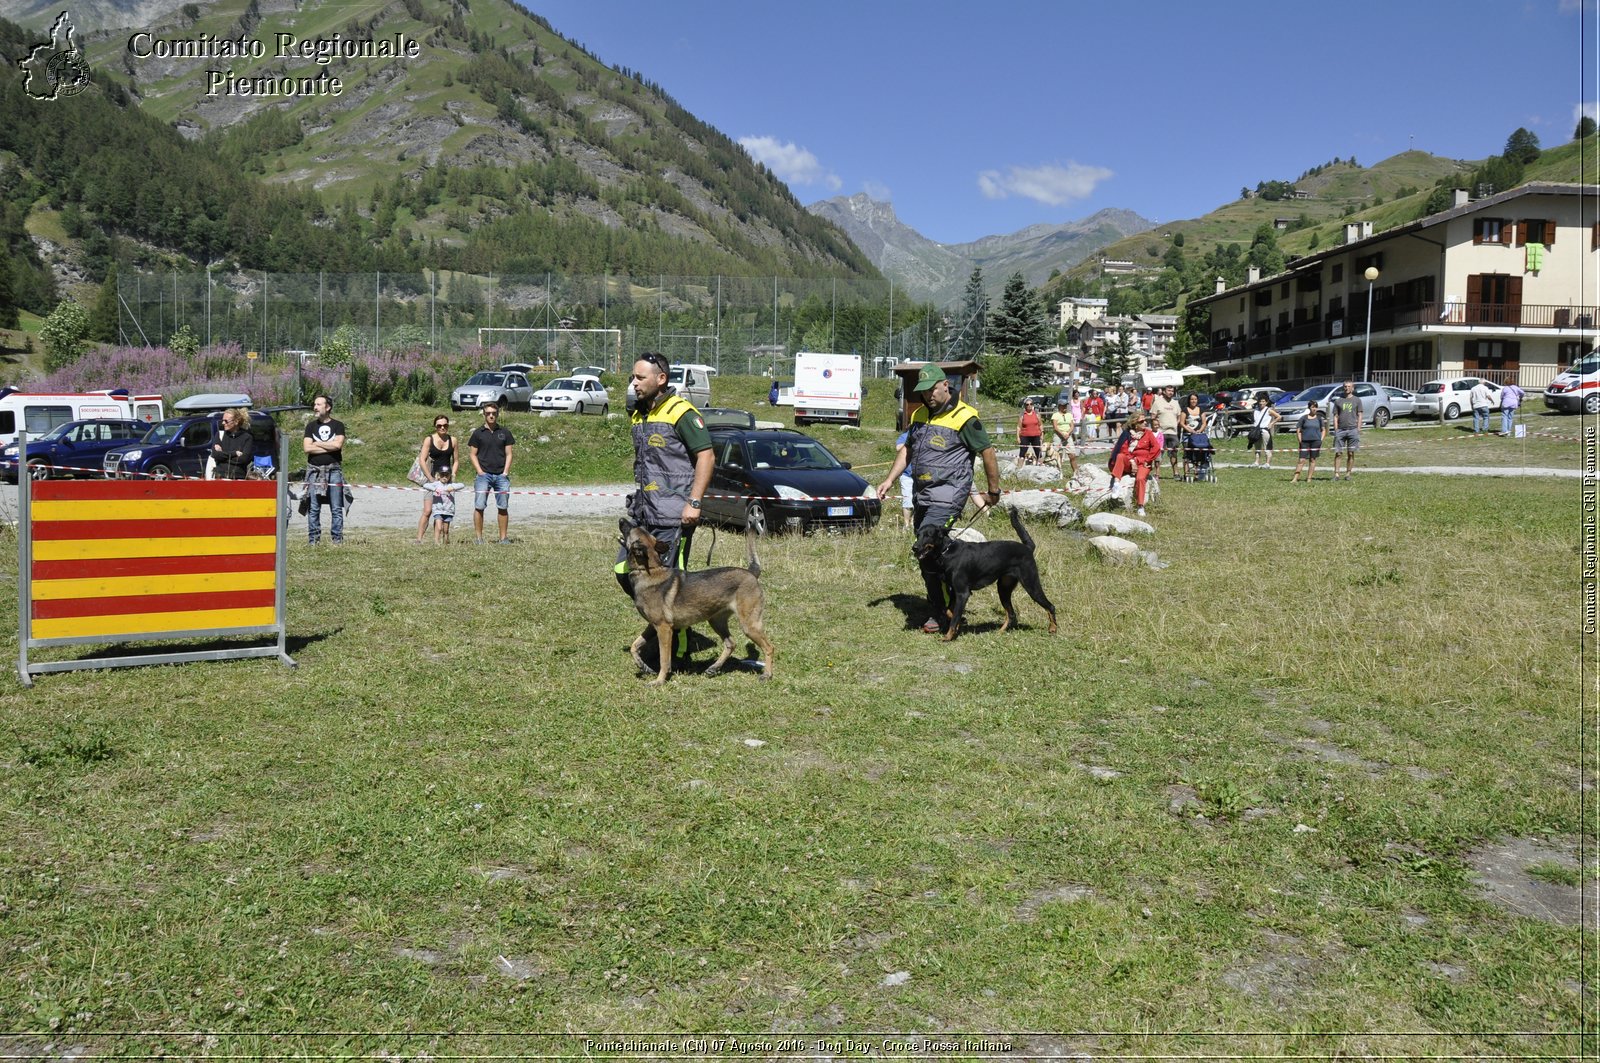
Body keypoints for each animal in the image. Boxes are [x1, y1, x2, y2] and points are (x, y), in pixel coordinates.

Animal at [617, 518, 774, 685]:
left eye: (630, 529)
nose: (622, 519)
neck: (649, 570)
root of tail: (751, 573)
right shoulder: (653, 626)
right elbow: (634, 645)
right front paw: (643, 666)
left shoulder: (664, 628)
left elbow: (664, 659)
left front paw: (659, 681)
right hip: (716, 621)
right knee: (731, 643)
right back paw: (714, 668)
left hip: (749, 625)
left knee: (769, 647)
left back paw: (767, 674)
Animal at [915, 505, 1062, 640]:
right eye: (918, 535)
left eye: (928, 535)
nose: (914, 547)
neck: (946, 551)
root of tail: (1027, 548)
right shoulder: (954, 592)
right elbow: (950, 612)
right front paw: (958, 625)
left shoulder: (963, 593)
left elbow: (954, 616)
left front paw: (948, 636)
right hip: (1003, 589)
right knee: (1011, 614)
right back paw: (1000, 632)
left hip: (1031, 585)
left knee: (1051, 606)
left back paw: (1053, 629)